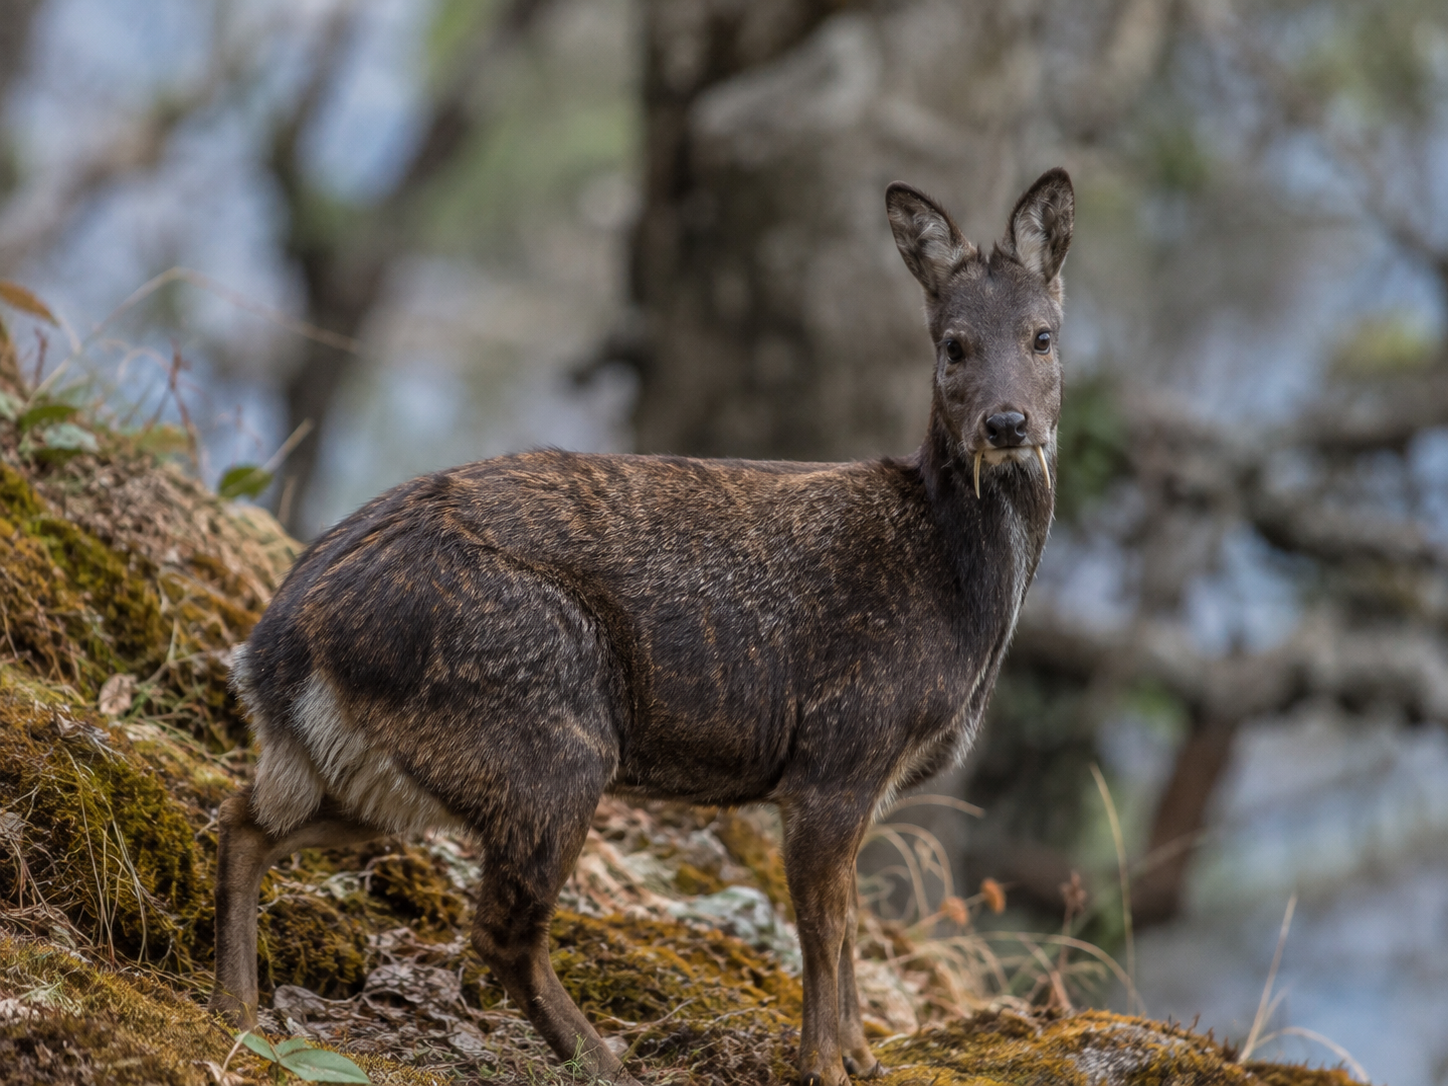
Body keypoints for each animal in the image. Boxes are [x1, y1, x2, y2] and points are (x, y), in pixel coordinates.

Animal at [210, 167, 1074, 1086]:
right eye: (952, 345)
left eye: (1043, 336)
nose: (1006, 424)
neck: (957, 597)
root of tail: (278, 643)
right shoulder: (840, 745)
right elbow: (826, 926)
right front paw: (825, 1065)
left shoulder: (867, 778)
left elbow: (843, 929)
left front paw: (865, 1059)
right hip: (544, 727)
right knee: (501, 929)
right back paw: (606, 1063)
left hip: (387, 763)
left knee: (245, 821)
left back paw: (236, 1009)